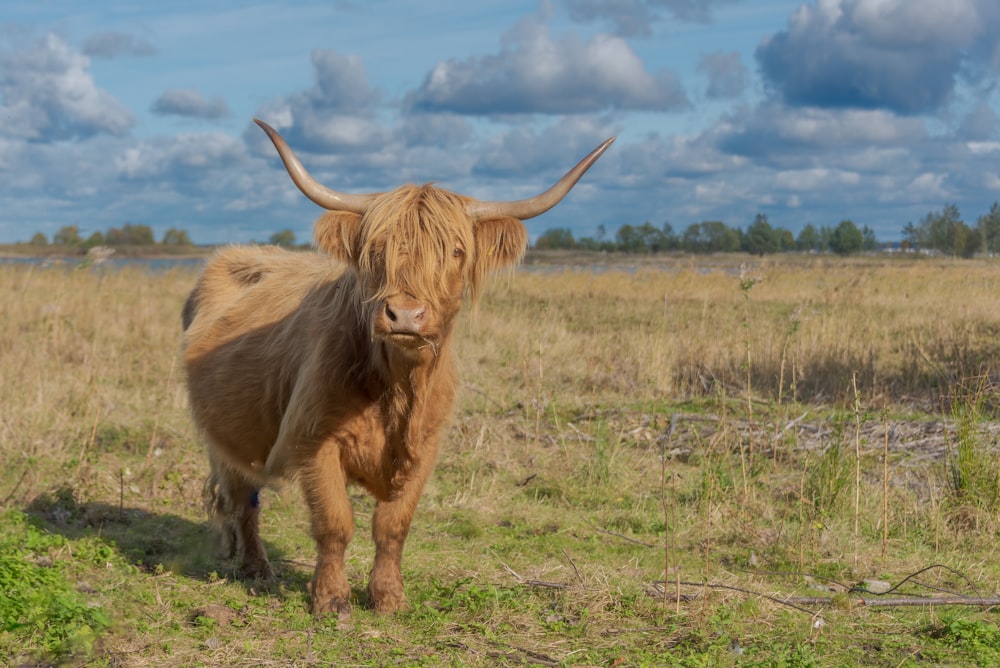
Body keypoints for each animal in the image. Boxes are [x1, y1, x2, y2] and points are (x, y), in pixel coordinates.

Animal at [183, 118, 612, 616]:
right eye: (378, 248)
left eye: (456, 251)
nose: (405, 315)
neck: (398, 385)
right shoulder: (313, 441)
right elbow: (335, 522)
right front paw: (331, 600)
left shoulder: (425, 448)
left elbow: (393, 524)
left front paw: (389, 598)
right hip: (222, 440)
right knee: (242, 500)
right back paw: (256, 567)